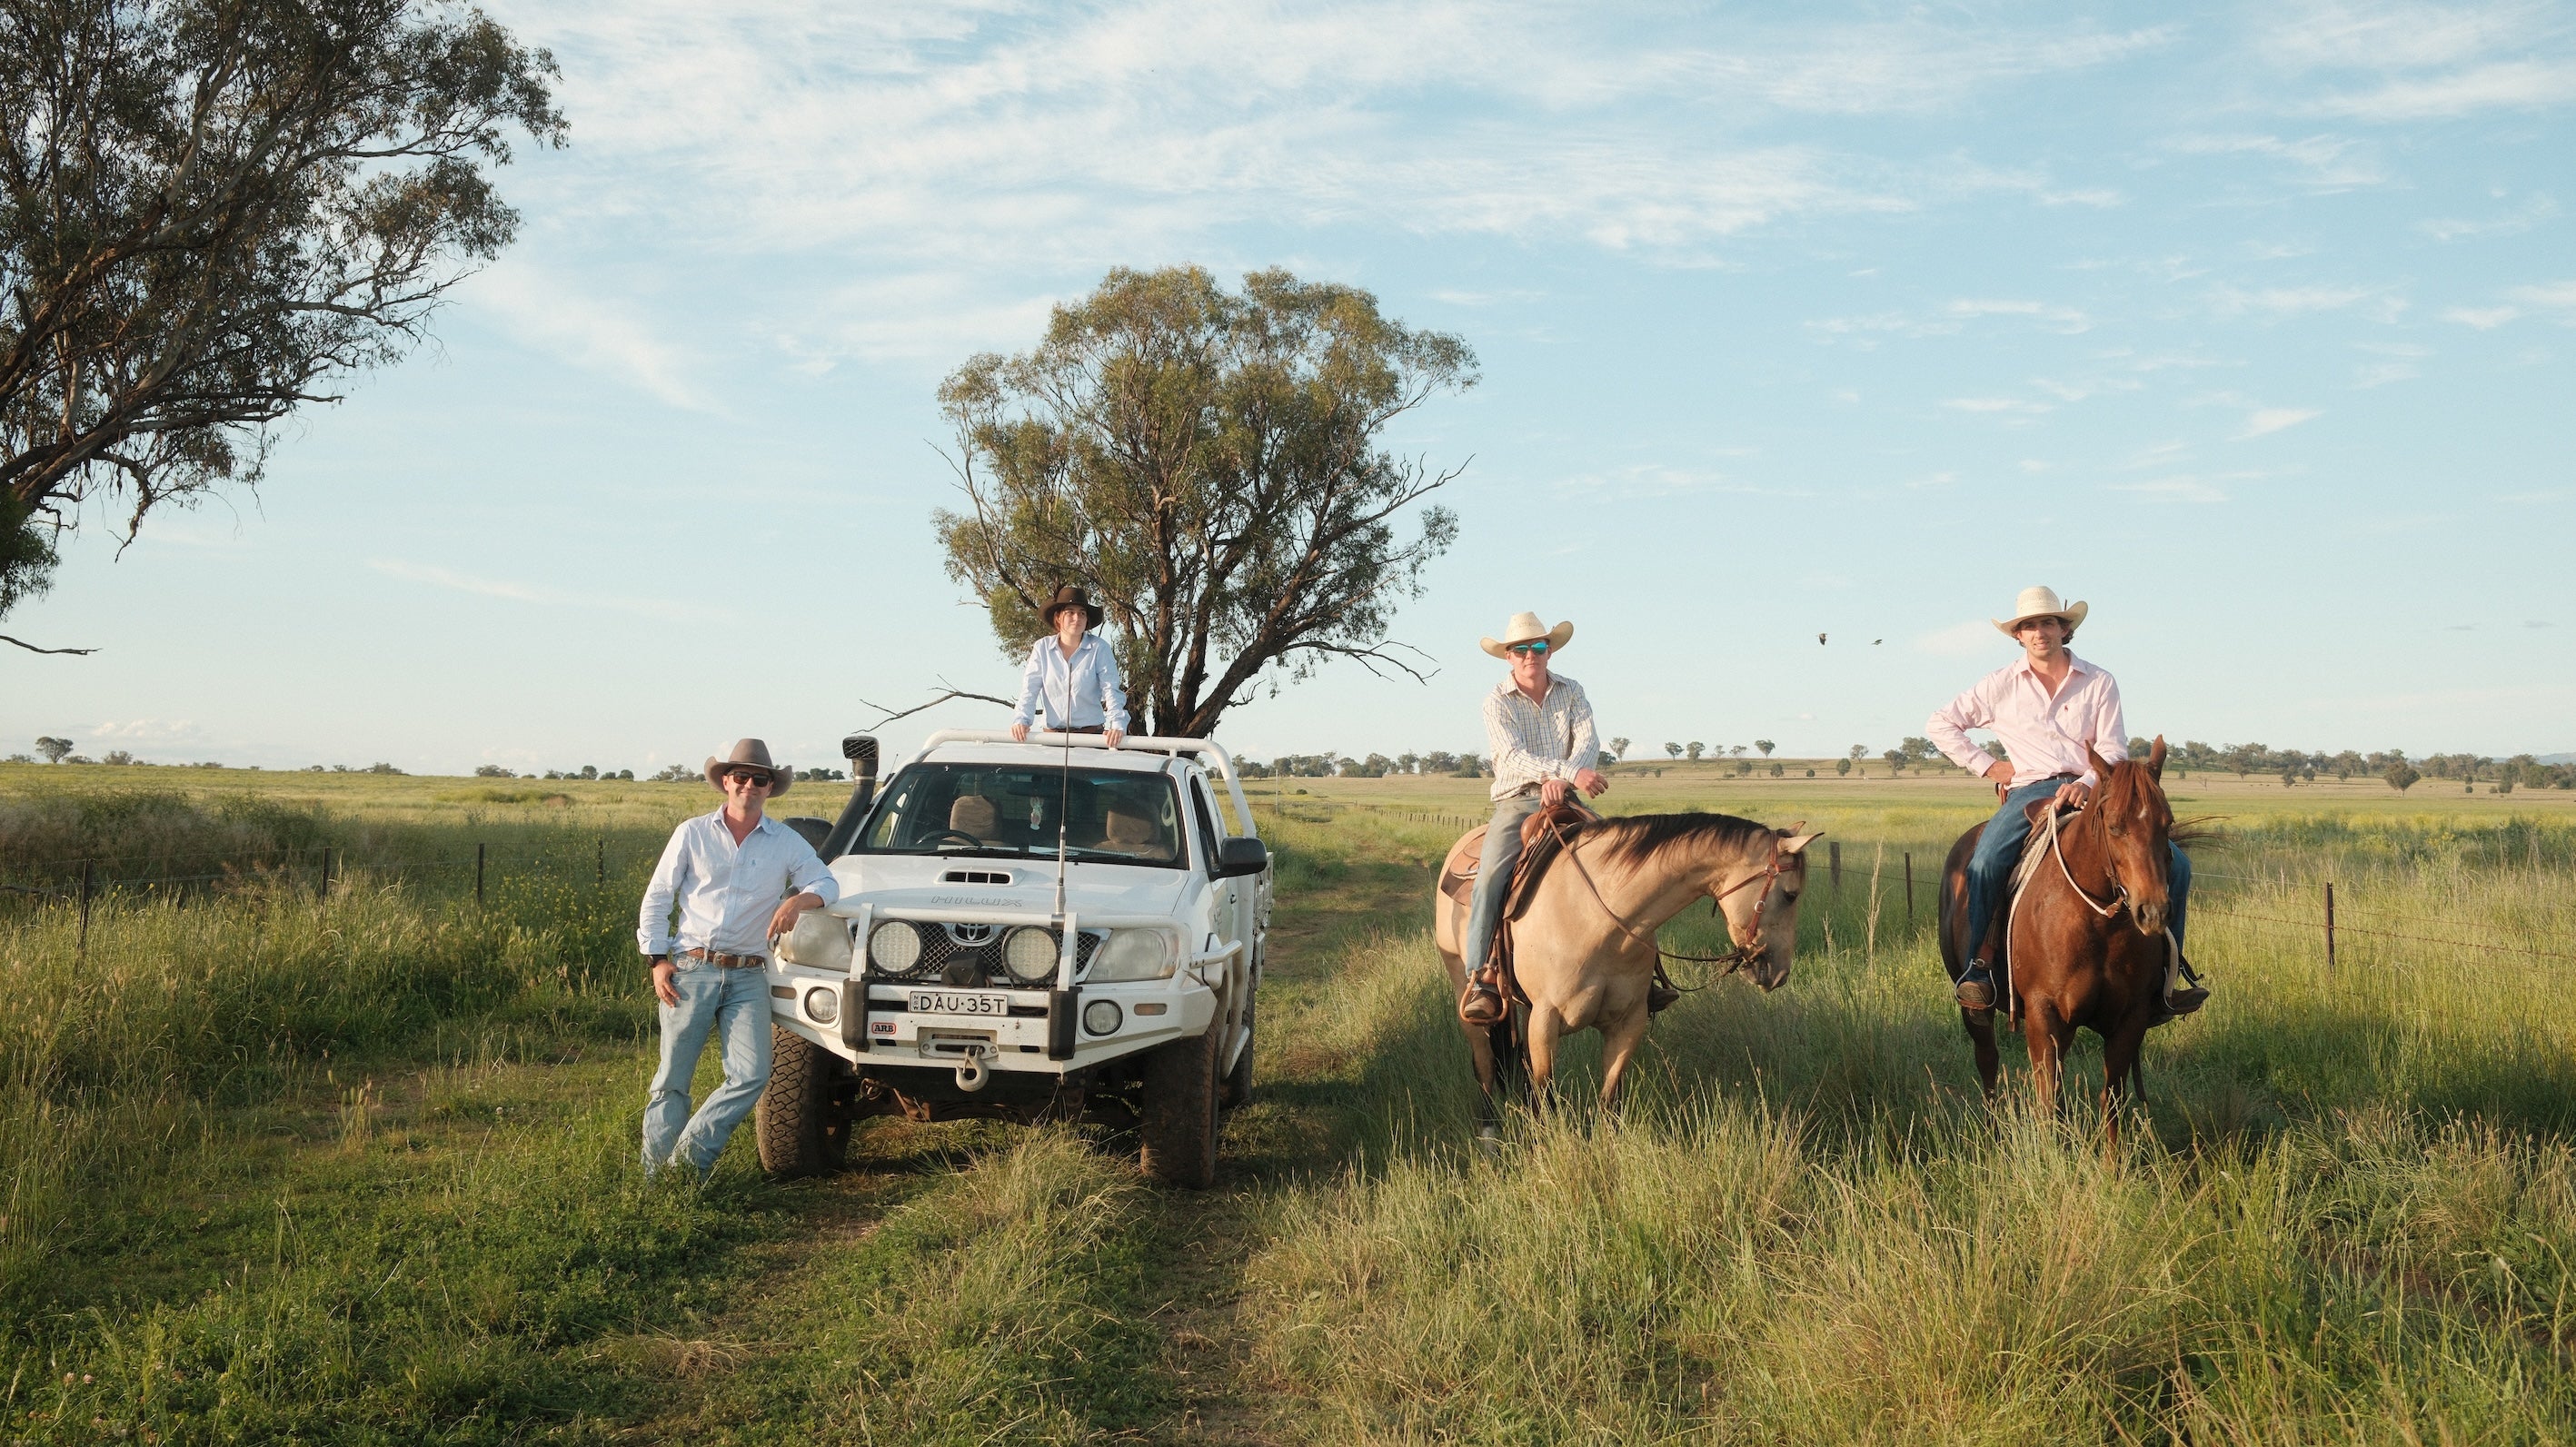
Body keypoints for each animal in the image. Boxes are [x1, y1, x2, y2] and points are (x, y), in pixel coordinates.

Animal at [1432, 813, 1834, 1127]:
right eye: (1791, 895)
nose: (1778, 972)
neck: (1596, 919)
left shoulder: (1628, 1023)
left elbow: (1608, 1103)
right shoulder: (1546, 1021)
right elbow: (1544, 1100)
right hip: (1466, 991)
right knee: (1484, 1063)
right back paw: (1489, 1132)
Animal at [1936, 731, 2184, 1127]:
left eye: (2167, 823)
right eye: (2114, 825)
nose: (2153, 911)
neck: (2099, 924)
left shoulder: (2128, 1021)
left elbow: (2112, 1102)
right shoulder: (2043, 1015)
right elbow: (2046, 1104)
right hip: (1975, 1009)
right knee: (1987, 1062)